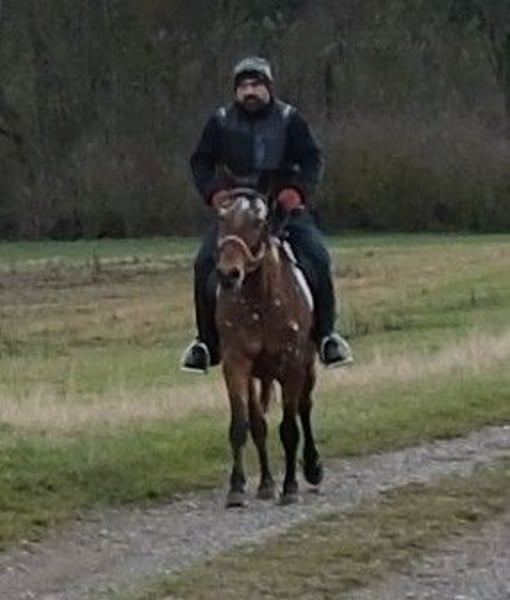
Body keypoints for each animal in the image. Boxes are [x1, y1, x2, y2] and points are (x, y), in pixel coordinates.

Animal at [214, 187, 323, 507]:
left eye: (258, 222)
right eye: (222, 218)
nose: (229, 274)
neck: (260, 300)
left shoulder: (293, 364)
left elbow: (289, 428)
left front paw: (290, 487)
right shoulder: (236, 363)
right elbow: (243, 425)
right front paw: (237, 488)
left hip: (307, 367)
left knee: (304, 409)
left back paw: (312, 467)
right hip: (259, 376)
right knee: (259, 423)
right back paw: (265, 483)